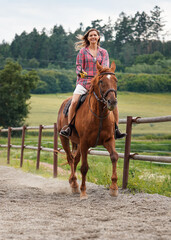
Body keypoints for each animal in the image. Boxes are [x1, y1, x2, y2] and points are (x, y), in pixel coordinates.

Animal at [56, 61, 118, 200]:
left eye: (115, 80)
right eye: (101, 81)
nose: (112, 102)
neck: (99, 115)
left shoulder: (109, 140)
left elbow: (114, 157)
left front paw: (114, 188)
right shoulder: (84, 142)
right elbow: (84, 167)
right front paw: (83, 192)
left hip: (78, 143)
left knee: (75, 159)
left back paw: (73, 182)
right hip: (64, 139)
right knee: (70, 159)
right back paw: (74, 184)